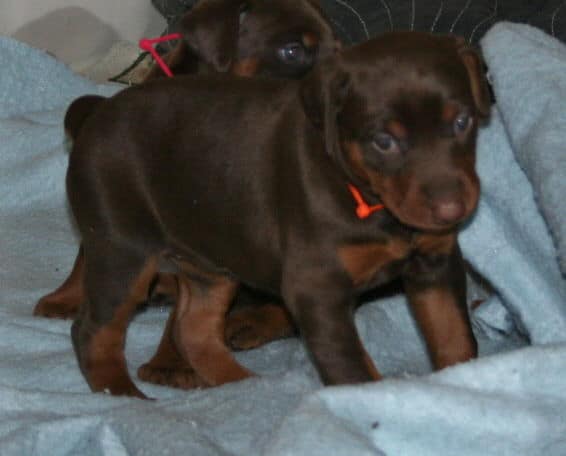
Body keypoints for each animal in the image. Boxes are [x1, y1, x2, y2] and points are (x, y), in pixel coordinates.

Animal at [63, 32, 492, 398]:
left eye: (462, 121)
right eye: (383, 141)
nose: (453, 209)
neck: (363, 196)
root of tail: (97, 116)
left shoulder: (435, 264)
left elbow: (454, 336)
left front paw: (464, 384)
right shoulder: (317, 286)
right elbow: (352, 369)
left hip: (212, 259)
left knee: (194, 328)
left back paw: (244, 385)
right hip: (121, 249)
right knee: (91, 330)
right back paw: (122, 394)